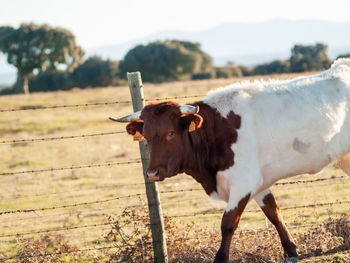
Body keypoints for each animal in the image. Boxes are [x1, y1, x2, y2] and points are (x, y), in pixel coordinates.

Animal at [110, 58, 350, 262]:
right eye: (146, 136)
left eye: (171, 133)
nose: (152, 173)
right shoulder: (259, 183)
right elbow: (274, 213)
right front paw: (290, 250)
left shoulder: (243, 182)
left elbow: (228, 223)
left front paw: (220, 258)